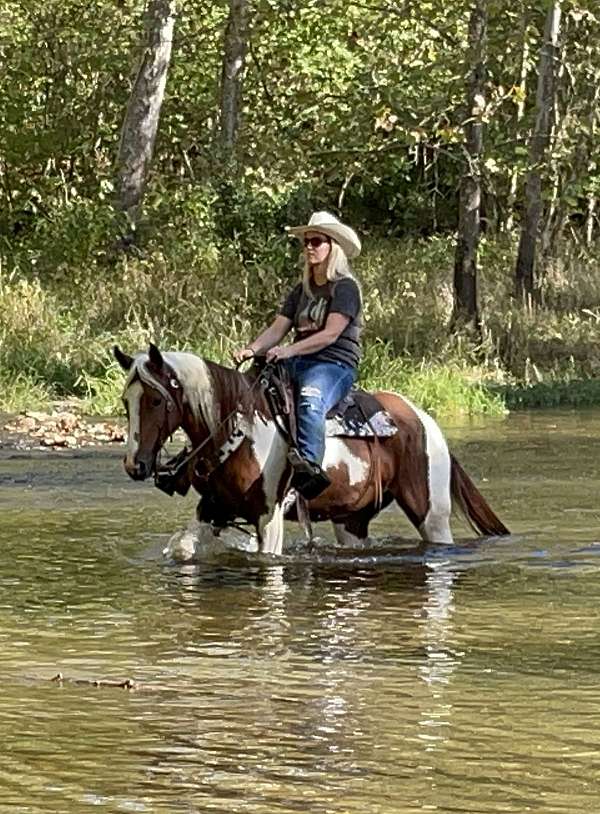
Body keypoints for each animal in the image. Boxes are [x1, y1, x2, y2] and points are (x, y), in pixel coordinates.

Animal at [115, 344, 508, 560]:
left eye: (155, 400)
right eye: (125, 401)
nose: (136, 465)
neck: (240, 429)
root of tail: (424, 419)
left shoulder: (268, 515)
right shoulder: (214, 508)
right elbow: (183, 547)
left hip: (431, 514)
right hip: (352, 521)